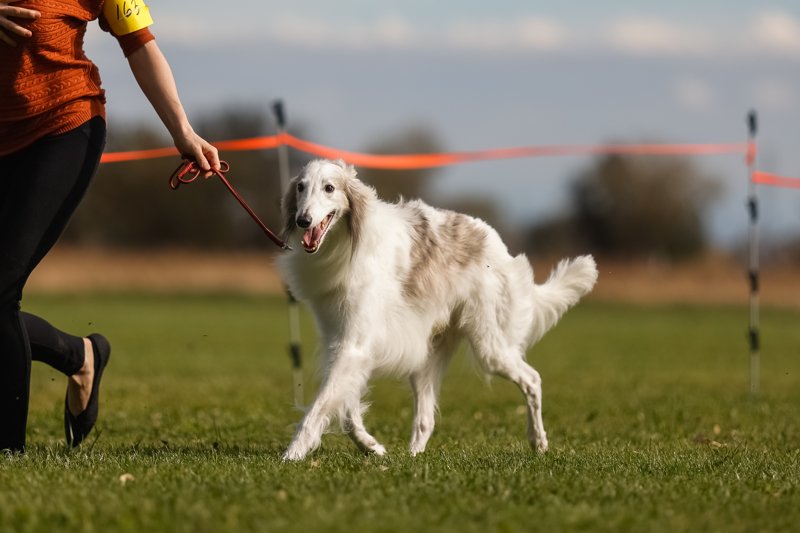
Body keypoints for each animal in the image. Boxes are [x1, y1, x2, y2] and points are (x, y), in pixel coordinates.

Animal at [276, 159, 592, 462]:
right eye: (301, 187)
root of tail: (496, 243)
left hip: (490, 348)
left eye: (329, 188)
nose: (302, 220)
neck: (348, 243)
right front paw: (372, 446)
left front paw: (292, 455)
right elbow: (346, 411)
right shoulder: (342, 344)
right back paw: (412, 457)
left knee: (532, 380)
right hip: (425, 360)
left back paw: (538, 441)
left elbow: (319, 409)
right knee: (426, 420)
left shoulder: (355, 346)